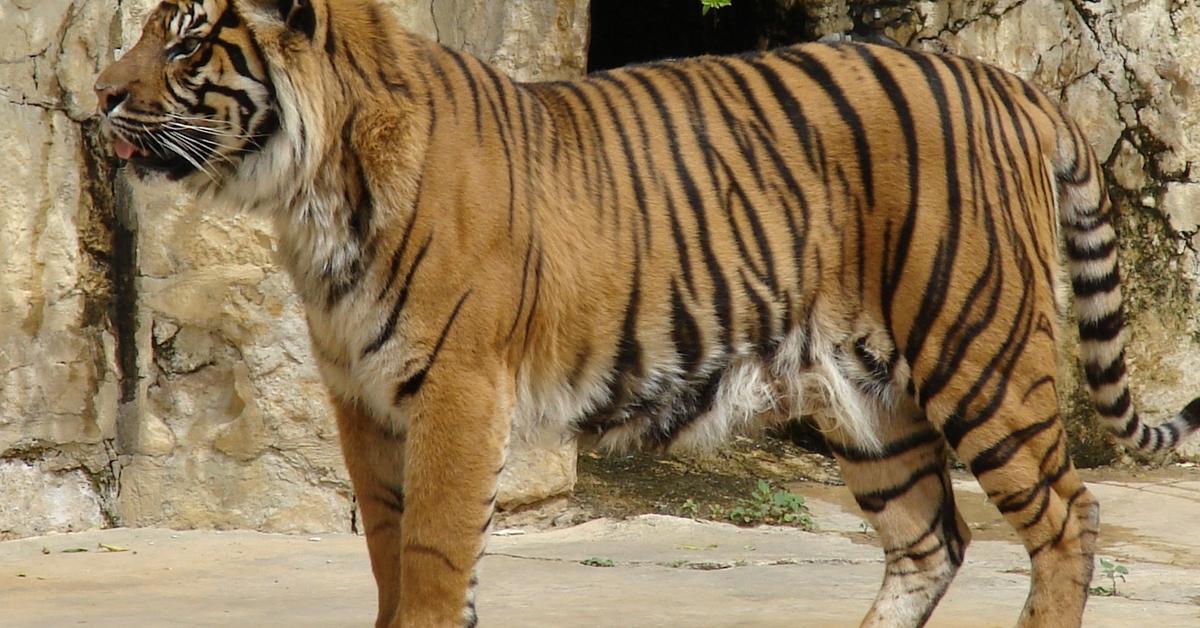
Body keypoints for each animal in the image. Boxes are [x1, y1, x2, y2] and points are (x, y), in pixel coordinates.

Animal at [93, 1, 1200, 628]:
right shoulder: (362, 400)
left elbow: (433, 565)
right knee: (932, 542)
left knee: (1067, 519)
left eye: (183, 43)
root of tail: (1016, 86)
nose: (96, 95)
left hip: (979, 350)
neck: (312, 189)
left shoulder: (456, 388)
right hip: (866, 400)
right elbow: (391, 559)